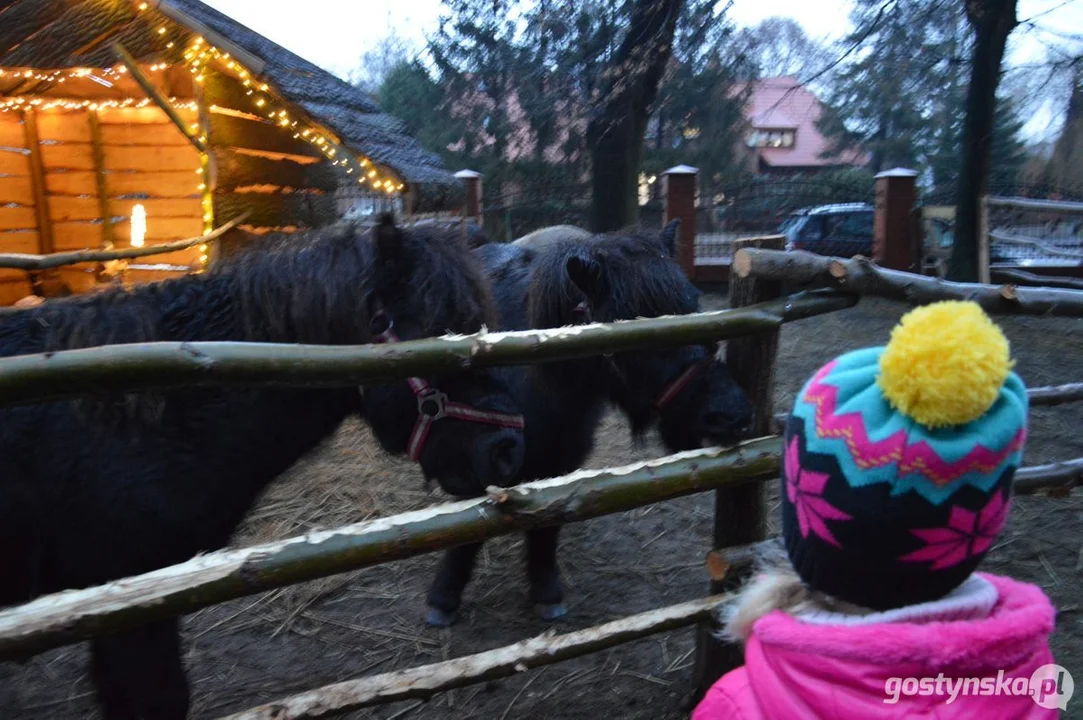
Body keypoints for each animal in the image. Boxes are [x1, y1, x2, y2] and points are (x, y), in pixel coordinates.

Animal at [424, 221, 753, 627]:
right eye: (638, 328)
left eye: (694, 306)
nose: (732, 415)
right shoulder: (480, 456)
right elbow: (467, 529)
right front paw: (444, 598)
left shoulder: (563, 458)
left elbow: (547, 527)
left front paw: (546, 591)